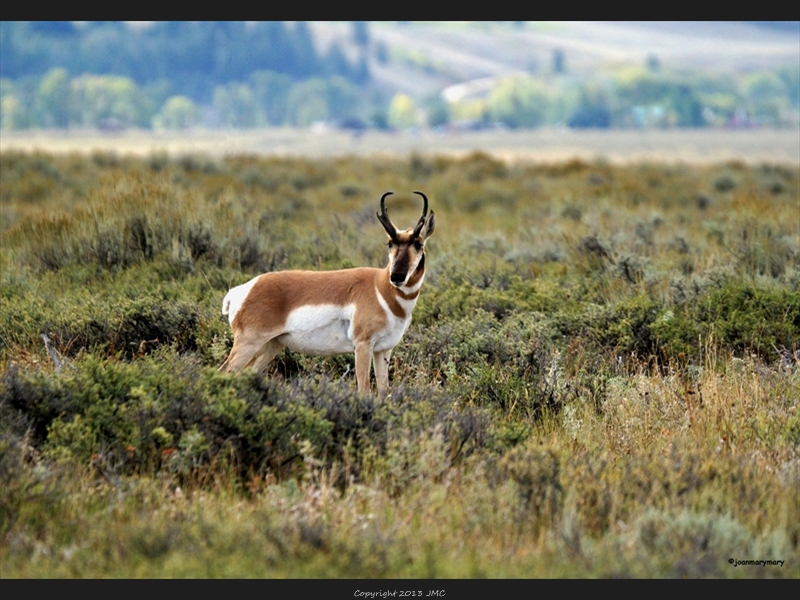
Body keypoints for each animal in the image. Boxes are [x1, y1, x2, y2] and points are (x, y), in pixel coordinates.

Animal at [219, 192, 434, 396]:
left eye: (419, 244)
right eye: (390, 243)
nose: (397, 276)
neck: (380, 288)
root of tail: (242, 290)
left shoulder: (383, 350)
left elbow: (383, 391)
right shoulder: (362, 346)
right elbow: (364, 390)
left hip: (270, 346)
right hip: (249, 343)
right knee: (225, 371)